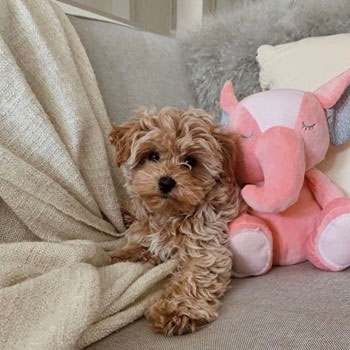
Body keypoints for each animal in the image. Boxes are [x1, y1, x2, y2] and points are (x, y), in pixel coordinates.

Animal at [109, 107, 243, 336]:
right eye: (153, 155)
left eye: (190, 162)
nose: (166, 182)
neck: (169, 214)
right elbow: (139, 246)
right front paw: (117, 256)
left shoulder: (207, 245)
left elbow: (194, 277)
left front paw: (176, 311)